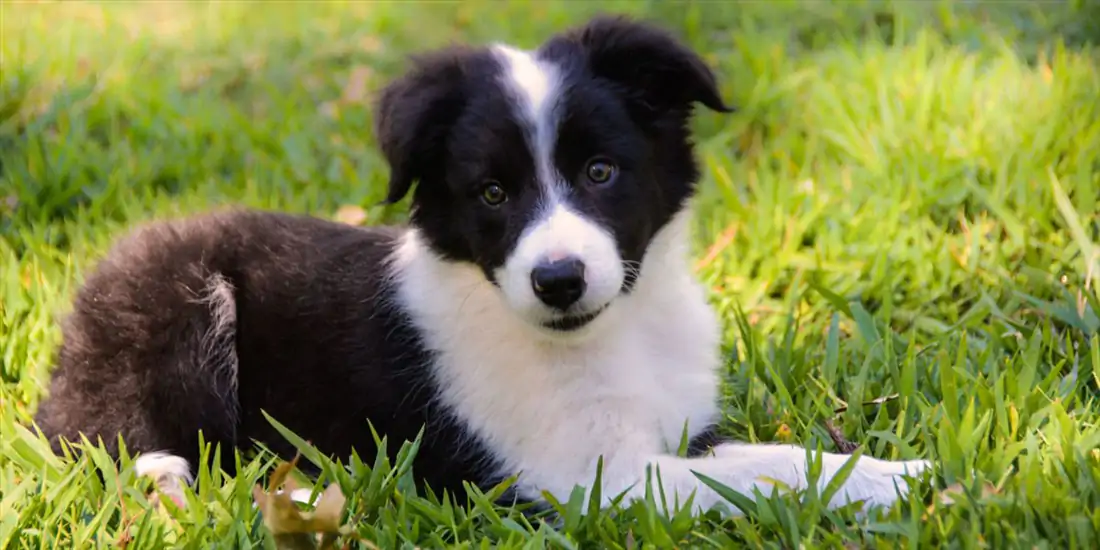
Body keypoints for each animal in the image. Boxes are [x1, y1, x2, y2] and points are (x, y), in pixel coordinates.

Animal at [32, 16, 928, 514]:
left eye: (600, 171)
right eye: (492, 193)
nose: (559, 281)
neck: (615, 333)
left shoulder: (672, 433)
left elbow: (780, 460)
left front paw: (896, 476)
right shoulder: (585, 477)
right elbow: (760, 480)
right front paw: (899, 486)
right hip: (174, 309)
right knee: (99, 435)